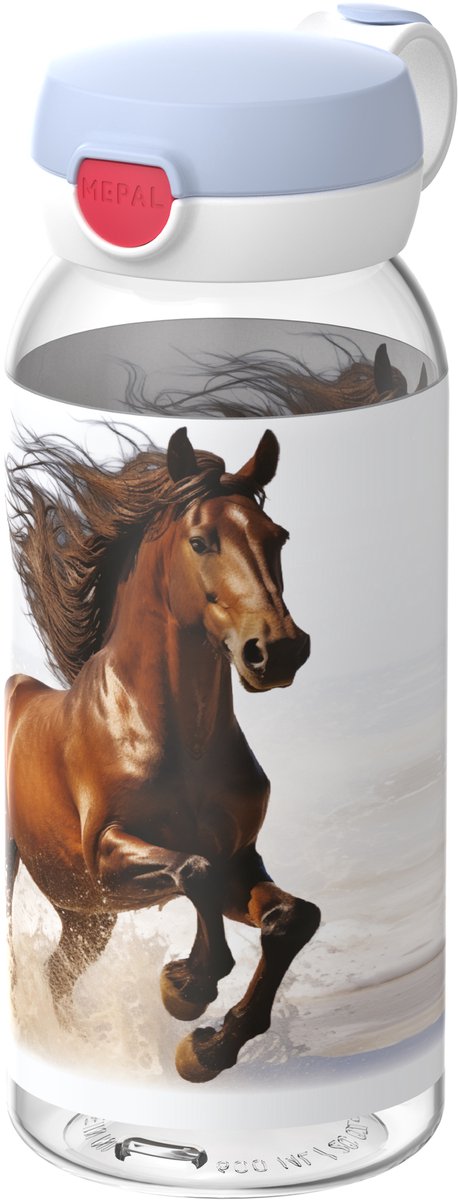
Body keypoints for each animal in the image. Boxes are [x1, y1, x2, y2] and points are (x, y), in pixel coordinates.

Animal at [6, 423, 319, 1084]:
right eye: (200, 541)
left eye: (276, 536)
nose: (277, 650)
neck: (178, 740)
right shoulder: (108, 852)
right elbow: (192, 869)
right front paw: (187, 986)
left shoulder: (238, 860)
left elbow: (292, 917)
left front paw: (206, 1046)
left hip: (90, 916)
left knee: (57, 975)